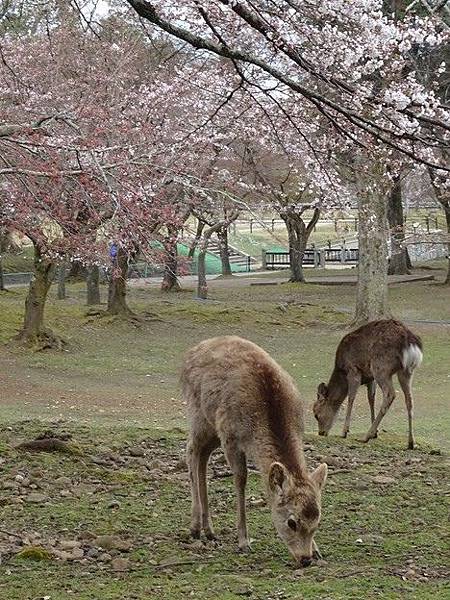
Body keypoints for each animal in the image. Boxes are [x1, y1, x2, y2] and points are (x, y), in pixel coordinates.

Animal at [181, 338, 328, 568]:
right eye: (291, 522)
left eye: (317, 521)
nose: (305, 559)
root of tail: (191, 352)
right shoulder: (231, 437)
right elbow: (241, 479)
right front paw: (243, 542)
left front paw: (318, 549)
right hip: (198, 414)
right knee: (191, 451)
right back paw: (195, 528)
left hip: (213, 428)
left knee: (203, 457)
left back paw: (209, 530)